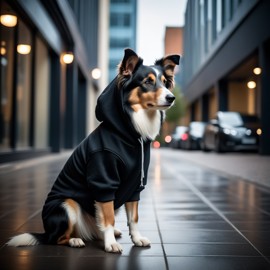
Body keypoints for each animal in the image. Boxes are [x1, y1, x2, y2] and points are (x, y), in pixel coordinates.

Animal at [6, 48, 179, 253]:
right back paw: (75, 240)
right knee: (57, 238)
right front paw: (110, 244)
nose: (171, 97)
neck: (130, 133)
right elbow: (109, 218)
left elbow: (133, 218)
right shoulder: (104, 181)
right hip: (66, 204)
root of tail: (46, 231)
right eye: (148, 82)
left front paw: (136, 239)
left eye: (165, 82)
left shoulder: (135, 185)